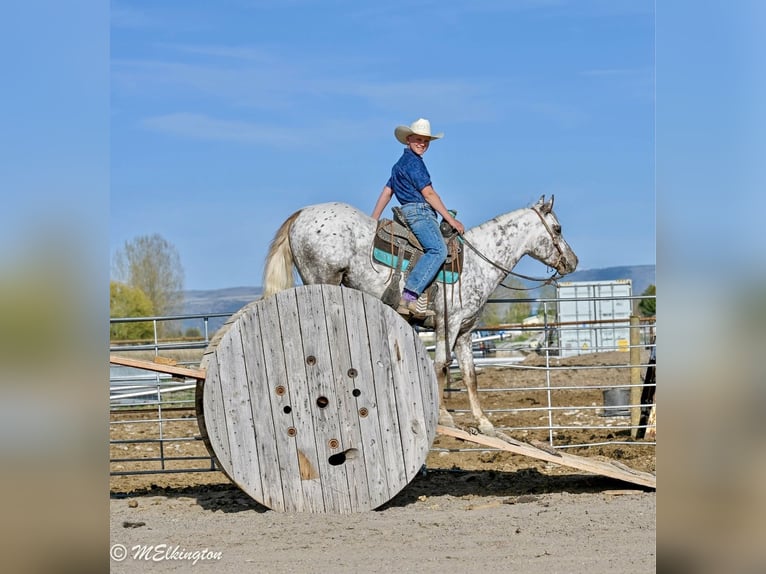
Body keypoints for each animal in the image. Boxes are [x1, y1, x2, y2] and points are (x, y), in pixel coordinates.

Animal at [262, 195, 578, 435]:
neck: (478, 262)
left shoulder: (465, 332)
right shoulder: (448, 324)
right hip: (322, 280)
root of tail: (302, 213)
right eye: (558, 228)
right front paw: (445, 417)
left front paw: (485, 424)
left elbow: (469, 375)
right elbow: (440, 366)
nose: (573, 262)